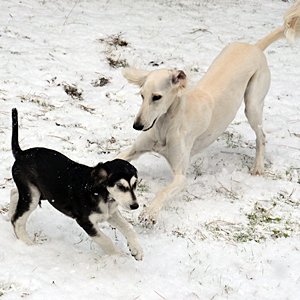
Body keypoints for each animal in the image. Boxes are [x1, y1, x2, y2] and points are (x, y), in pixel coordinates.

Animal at [9, 108, 144, 260]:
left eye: (135, 184)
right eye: (120, 186)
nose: (135, 206)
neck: (103, 194)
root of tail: (21, 154)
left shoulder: (110, 213)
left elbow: (129, 228)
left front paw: (136, 250)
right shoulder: (85, 221)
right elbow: (105, 240)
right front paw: (118, 255)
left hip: (37, 192)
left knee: (14, 193)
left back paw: (9, 213)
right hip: (32, 195)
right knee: (17, 220)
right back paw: (27, 243)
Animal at [115, 1, 300, 225]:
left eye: (157, 97)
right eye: (142, 95)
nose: (137, 126)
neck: (167, 125)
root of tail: (255, 47)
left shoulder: (181, 176)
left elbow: (164, 191)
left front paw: (149, 213)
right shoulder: (134, 150)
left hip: (253, 104)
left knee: (261, 135)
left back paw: (258, 166)